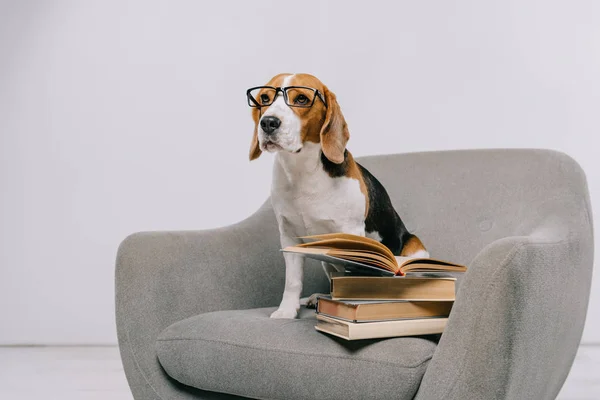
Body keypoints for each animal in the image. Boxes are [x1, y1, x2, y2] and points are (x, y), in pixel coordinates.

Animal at [247, 72, 426, 318]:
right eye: (265, 98)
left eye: (301, 99)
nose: (268, 123)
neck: (303, 171)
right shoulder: (289, 237)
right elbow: (292, 281)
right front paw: (286, 311)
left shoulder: (352, 234)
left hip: (417, 252)